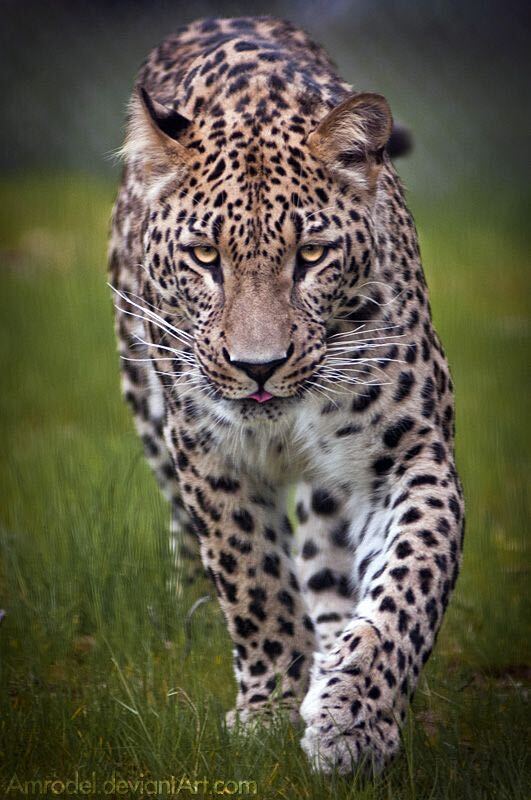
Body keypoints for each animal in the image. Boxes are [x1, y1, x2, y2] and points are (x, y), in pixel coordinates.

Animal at [108, 15, 464, 774]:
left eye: (311, 257)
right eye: (205, 258)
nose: (259, 368)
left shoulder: (409, 452)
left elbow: (408, 581)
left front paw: (354, 714)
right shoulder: (209, 455)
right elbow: (254, 579)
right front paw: (268, 709)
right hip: (148, 408)